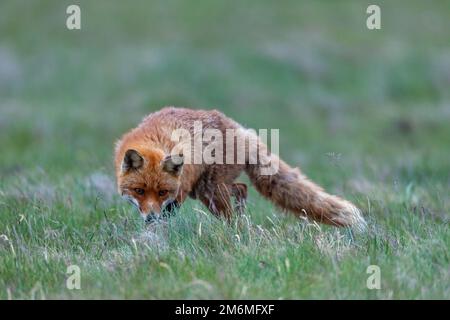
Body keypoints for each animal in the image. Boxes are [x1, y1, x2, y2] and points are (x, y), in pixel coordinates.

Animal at [115, 107, 366, 230]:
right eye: (139, 191)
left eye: (162, 192)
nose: (150, 218)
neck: (156, 139)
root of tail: (242, 129)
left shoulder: (178, 194)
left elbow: (167, 215)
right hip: (207, 191)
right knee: (241, 188)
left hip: (211, 191)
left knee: (235, 204)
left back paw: (235, 232)